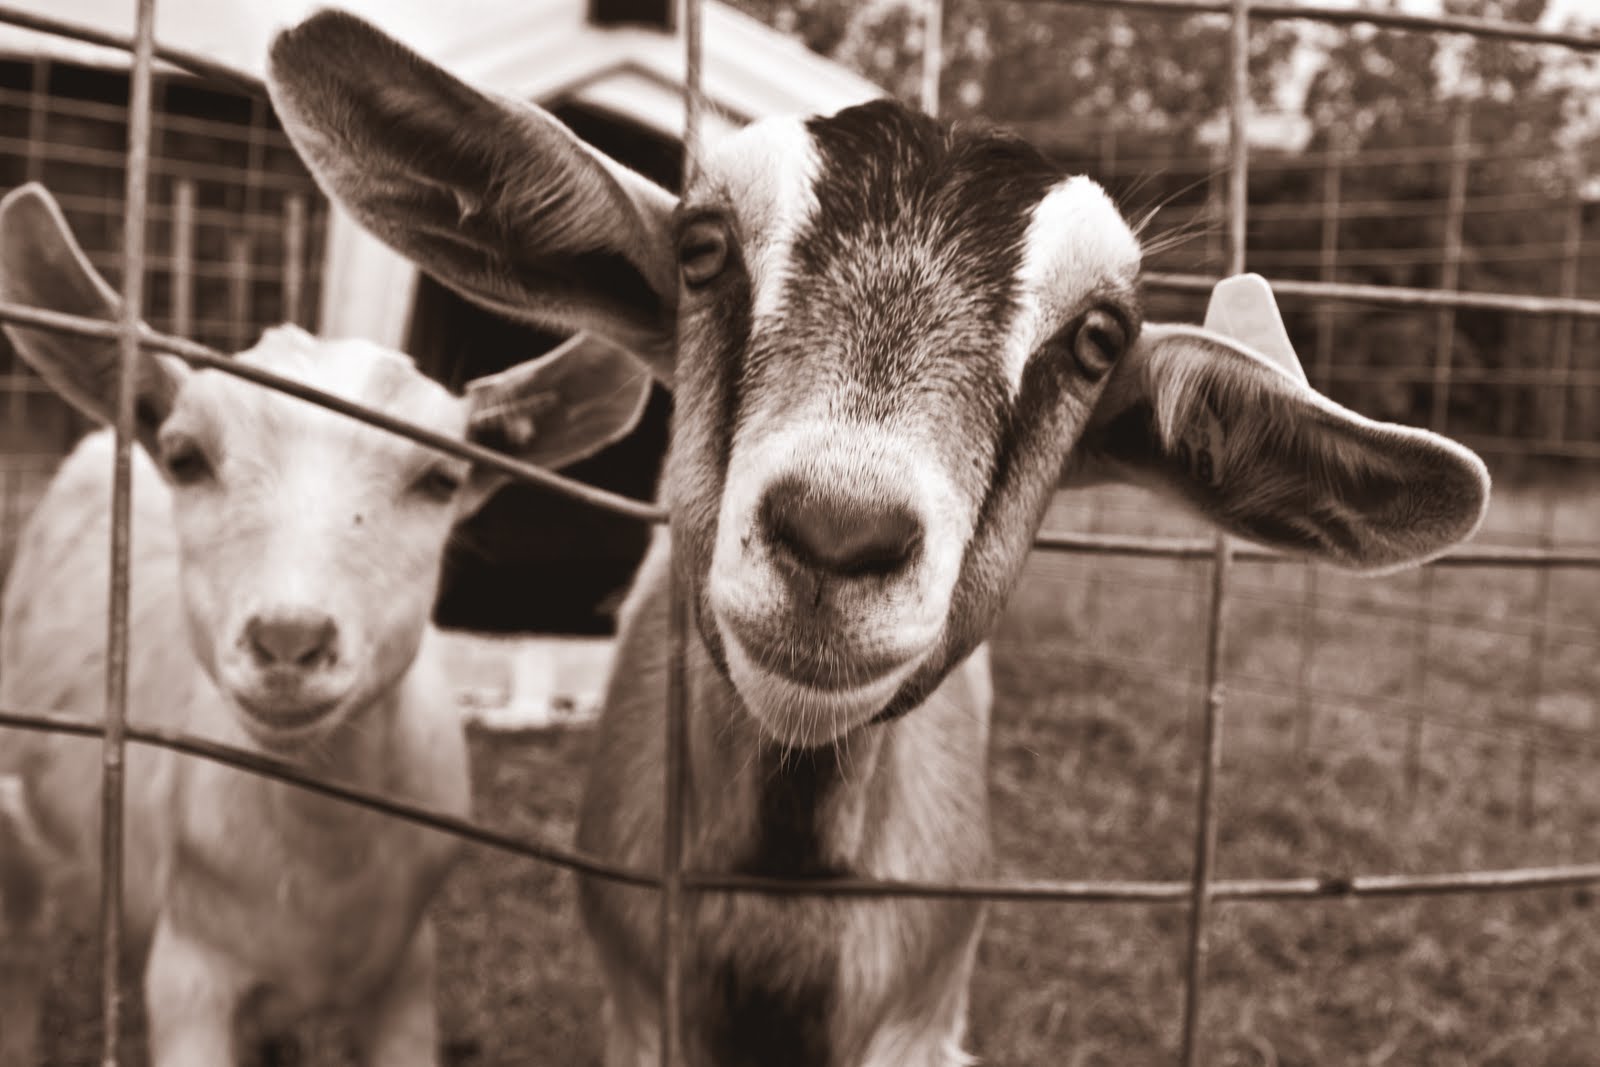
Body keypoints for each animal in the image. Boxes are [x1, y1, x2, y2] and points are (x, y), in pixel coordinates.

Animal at [0, 183, 651, 1066]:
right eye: (185, 456)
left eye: (441, 477)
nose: (289, 639)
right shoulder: (193, 973)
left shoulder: (407, 970)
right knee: (23, 939)